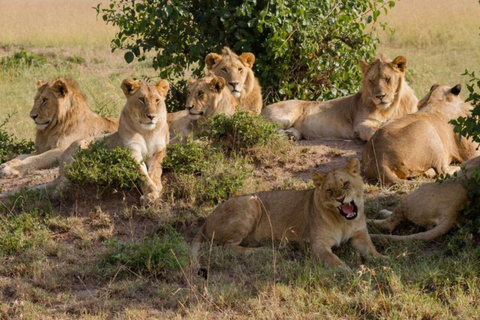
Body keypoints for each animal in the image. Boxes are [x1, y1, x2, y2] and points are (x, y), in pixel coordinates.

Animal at [189, 158, 384, 270]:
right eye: (329, 190)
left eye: (345, 184)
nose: (341, 199)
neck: (344, 221)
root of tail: (206, 220)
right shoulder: (318, 244)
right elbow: (332, 258)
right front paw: (345, 270)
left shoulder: (360, 235)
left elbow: (371, 250)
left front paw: (383, 261)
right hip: (251, 203)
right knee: (226, 247)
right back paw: (263, 251)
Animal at [260, 54, 418, 141]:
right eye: (372, 81)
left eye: (387, 79)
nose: (380, 96)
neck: (391, 107)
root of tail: (263, 109)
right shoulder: (361, 123)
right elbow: (373, 131)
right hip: (284, 117)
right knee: (264, 128)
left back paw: (291, 135)